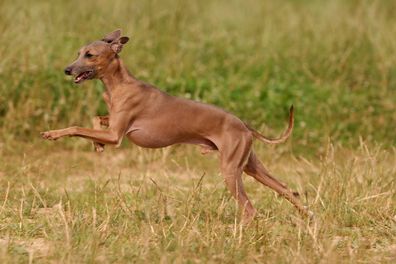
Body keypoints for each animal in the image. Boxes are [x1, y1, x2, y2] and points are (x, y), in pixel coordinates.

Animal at [42, 29, 310, 223]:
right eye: (78, 52)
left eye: (89, 54)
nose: (67, 69)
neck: (119, 84)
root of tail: (243, 124)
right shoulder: (111, 127)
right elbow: (96, 119)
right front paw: (97, 146)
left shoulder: (116, 134)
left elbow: (76, 127)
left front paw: (53, 133)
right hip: (251, 167)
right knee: (287, 189)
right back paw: (308, 215)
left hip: (231, 170)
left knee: (250, 208)